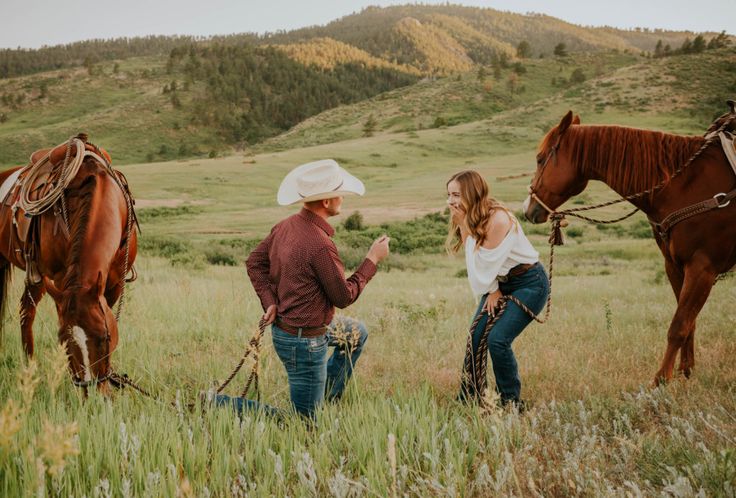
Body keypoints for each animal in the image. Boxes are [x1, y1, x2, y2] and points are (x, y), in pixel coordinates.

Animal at [0, 137, 137, 392]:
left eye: (105, 337)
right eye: (63, 341)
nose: (92, 391)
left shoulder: (113, 284)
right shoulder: (59, 279)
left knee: (26, 312)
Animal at [524, 112, 736, 386]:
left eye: (540, 158)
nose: (528, 209)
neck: (685, 185)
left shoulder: (702, 267)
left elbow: (679, 325)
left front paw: (661, 380)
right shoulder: (675, 266)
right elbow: (690, 322)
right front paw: (685, 372)